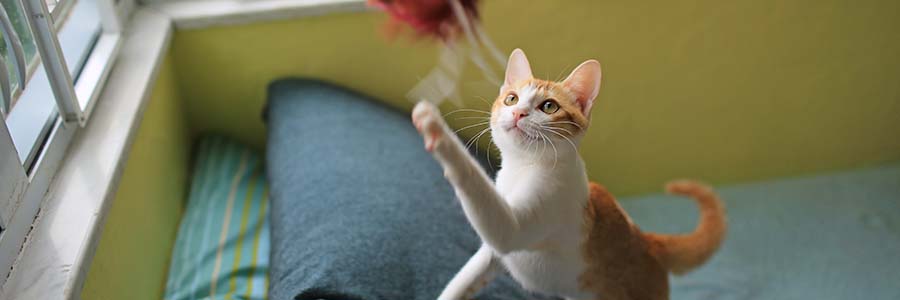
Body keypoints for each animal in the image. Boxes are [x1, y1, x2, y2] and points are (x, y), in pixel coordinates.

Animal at [412, 49, 728, 300]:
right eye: (512, 99)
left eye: (549, 106)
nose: (518, 113)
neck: (522, 168)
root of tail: (647, 240)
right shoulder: (490, 255)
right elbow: (462, 281)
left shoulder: (523, 221)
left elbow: (481, 192)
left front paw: (437, 130)